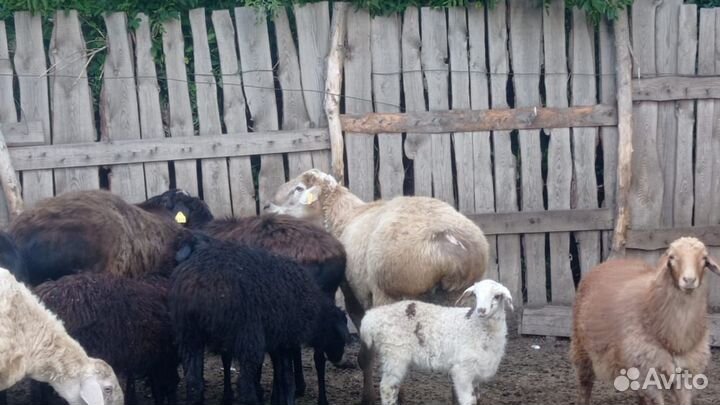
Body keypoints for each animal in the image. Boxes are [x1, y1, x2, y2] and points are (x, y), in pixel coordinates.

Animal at [170, 232, 349, 405]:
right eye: (338, 335)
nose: (339, 359)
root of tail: (198, 286)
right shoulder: (287, 340)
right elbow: (287, 378)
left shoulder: (277, 341)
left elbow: (281, 375)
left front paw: (277, 399)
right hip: (247, 335)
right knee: (244, 384)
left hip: (189, 335)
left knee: (194, 381)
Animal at [265, 168, 489, 404]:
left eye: (299, 188)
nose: (267, 207)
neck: (343, 215)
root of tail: (448, 244)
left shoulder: (352, 294)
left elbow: (366, 355)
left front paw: (367, 397)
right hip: (458, 297)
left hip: (389, 295)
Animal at [359, 279, 512, 405]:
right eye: (475, 295)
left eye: (497, 296)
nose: (481, 310)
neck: (475, 327)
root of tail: (371, 317)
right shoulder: (462, 370)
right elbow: (468, 400)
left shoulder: (476, 373)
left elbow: (478, 398)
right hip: (394, 352)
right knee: (387, 387)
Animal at [571, 237, 720, 405]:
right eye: (671, 257)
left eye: (704, 258)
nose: (689, 280)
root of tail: (614, 259)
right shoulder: (647, 371)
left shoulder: (685, 373)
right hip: (581, 347)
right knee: (585, 383)